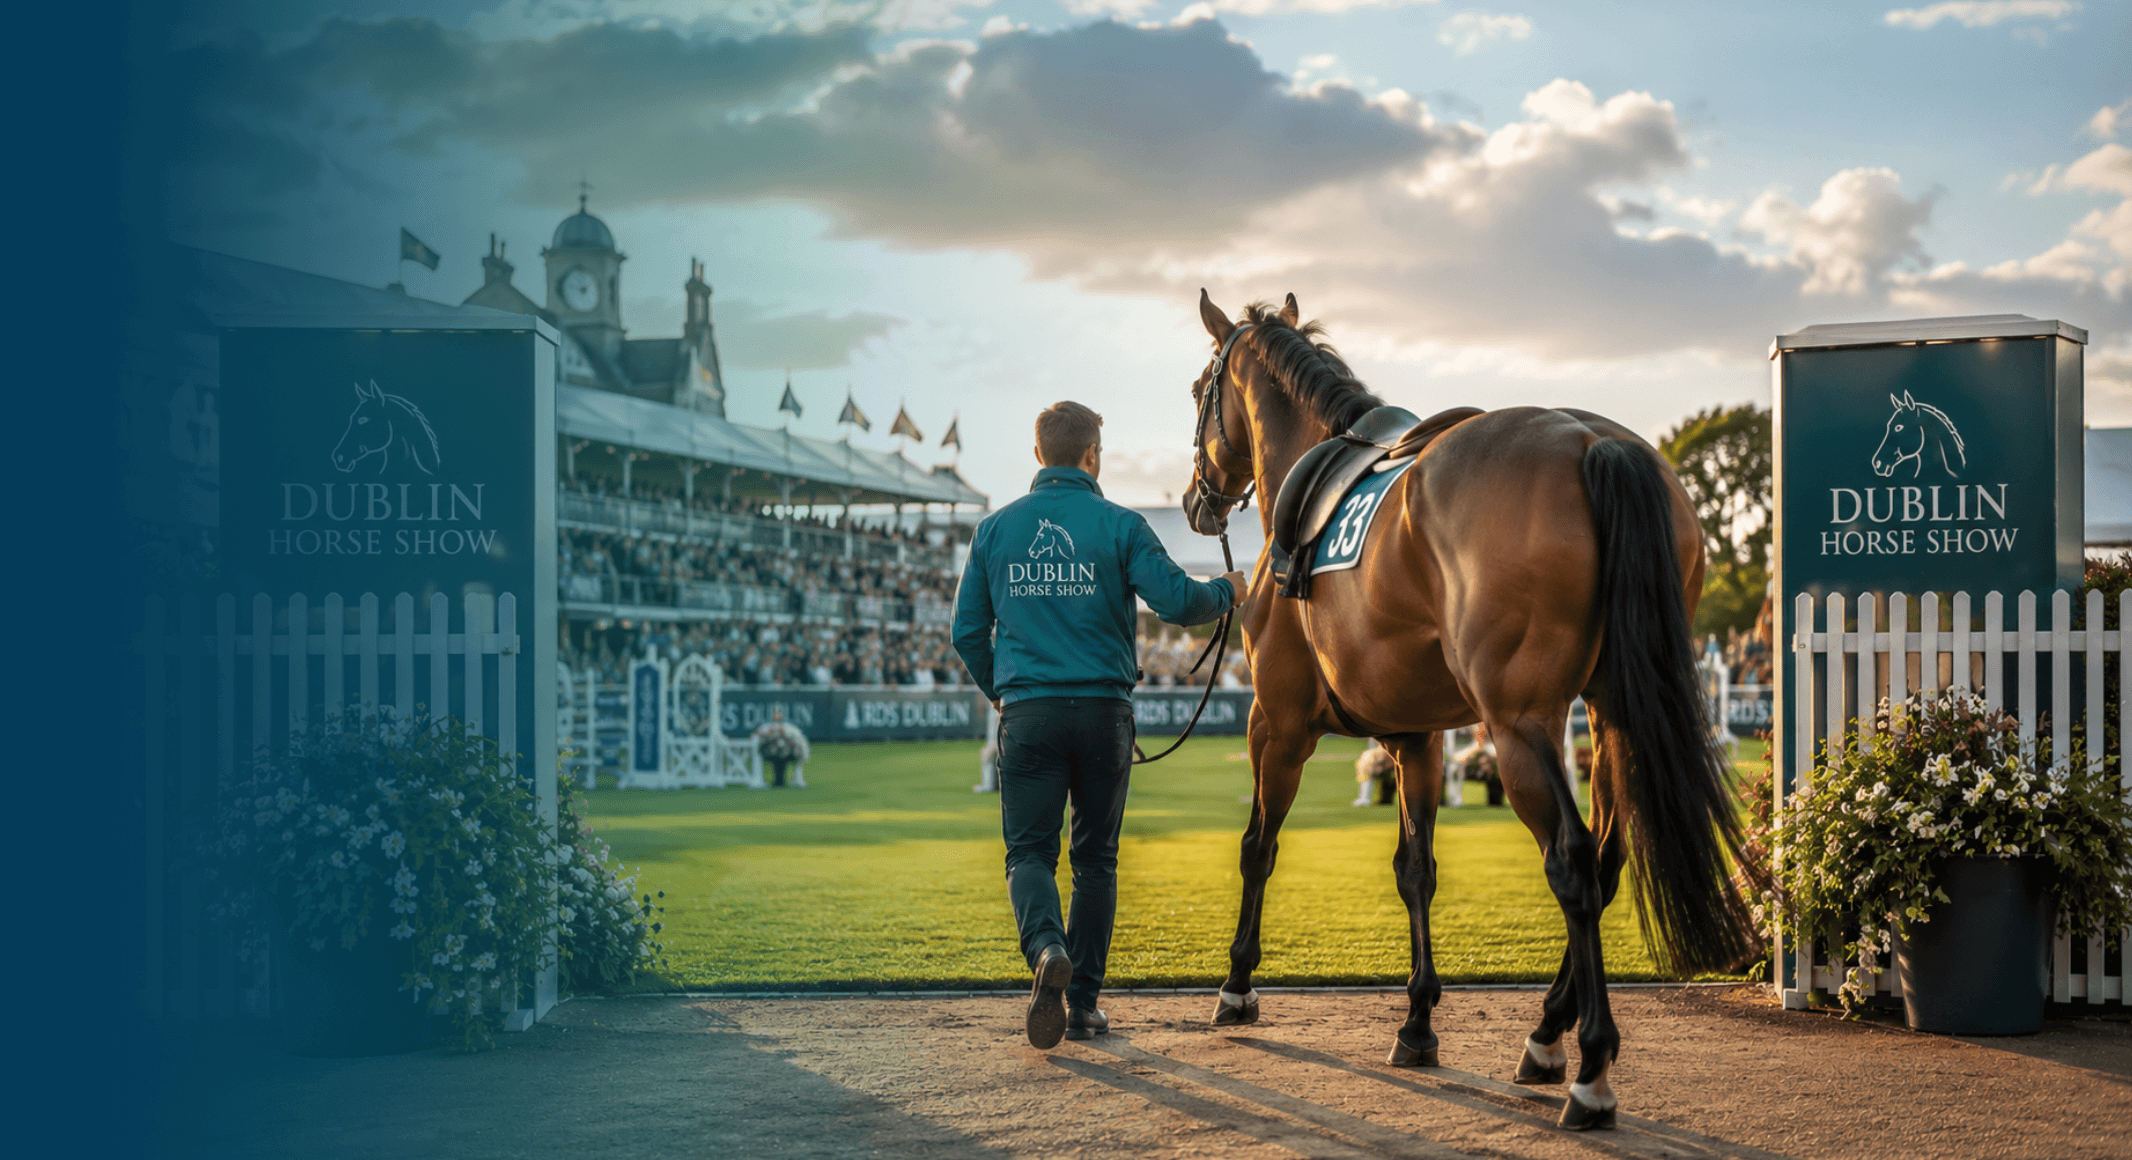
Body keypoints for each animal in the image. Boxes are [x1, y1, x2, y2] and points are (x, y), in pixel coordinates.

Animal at [1179, 291, 1759, 1131]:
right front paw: (1418, 1020)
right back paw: (1547, 1031)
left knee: (1573, 861)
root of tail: (1596, 443)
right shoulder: (1416, 739)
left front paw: (1236, 987)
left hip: (1519, 725)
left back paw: (1588, 1068)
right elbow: (1415, 870)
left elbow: (1260, 847)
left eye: (1201, 391)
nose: (1194, 501)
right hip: (1613, 715)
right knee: (1607, 856)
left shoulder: (1277, 725)